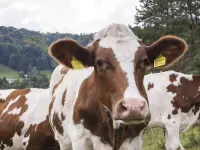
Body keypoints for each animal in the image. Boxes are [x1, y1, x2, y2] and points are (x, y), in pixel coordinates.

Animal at [47, 23, 188, 150]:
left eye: (144, 61)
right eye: (99, 62)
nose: (133, 107)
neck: (113, 131)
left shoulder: (135, 140)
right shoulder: (80, 140)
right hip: (64, 141)